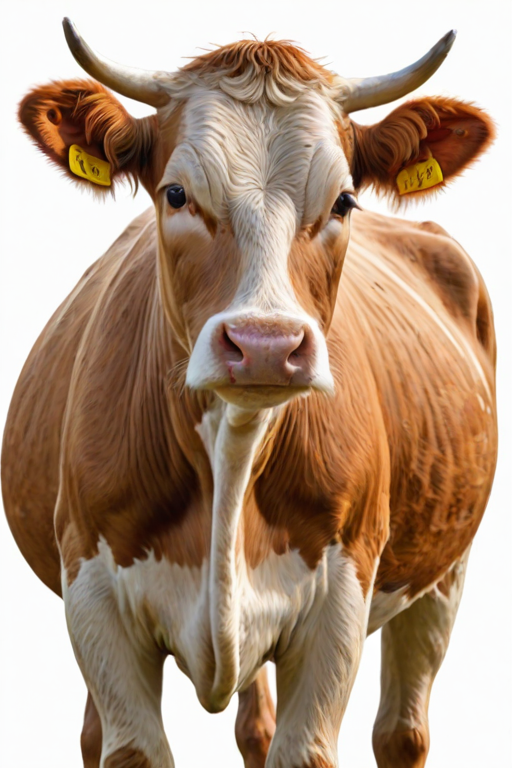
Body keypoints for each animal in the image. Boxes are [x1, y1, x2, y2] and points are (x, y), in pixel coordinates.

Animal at [1, 18, 497, 768]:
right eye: (176, 193)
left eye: (344, 200)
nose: (266, 344)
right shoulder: (91, 593)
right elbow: (129, 747)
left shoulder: (341, 599)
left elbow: (304, 746)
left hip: (444, 571)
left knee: (401, 731)